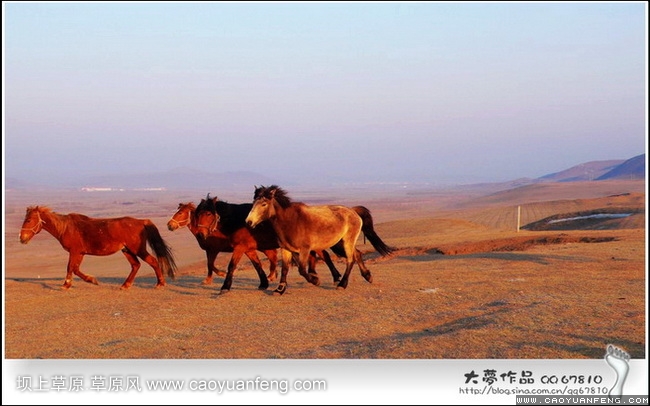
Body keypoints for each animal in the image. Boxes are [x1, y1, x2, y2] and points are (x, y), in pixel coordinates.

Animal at [19, 206, 176, 288]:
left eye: (29, 220)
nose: (22, 238)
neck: (66, 228)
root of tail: (142, 221)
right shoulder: (80, 253)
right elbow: (76, 269)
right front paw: (92, 280)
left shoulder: (74, 252)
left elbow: (70, 268)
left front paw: (66, 285)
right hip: (127, 250)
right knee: (135, 265)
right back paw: (125, 285)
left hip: (137, 249)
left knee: (153, 261)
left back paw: (160, 283)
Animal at [194, 195, 344, 294]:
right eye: (197, 214)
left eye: (208, 213)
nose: (200, 234)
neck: (237, 221)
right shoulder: (249, 249)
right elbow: (257, 265)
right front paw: (263, 283)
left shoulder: (239, 248)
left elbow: (232, 266)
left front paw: (225, 287)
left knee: (325, 256)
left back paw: (335, 278)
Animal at [244, 185, 392, 294]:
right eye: (253, 202)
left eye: (264, 204)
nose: (249, 222)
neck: (290, 221)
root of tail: (353, 211)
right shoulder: (286, 249)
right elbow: (285, 268)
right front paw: (280, 289)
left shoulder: (305, 249)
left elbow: (302, 270)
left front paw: (315, 280)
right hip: (341, 242)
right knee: (357, 254)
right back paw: (367, 276)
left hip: (346, 241)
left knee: (351, 259)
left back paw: (342, 284)